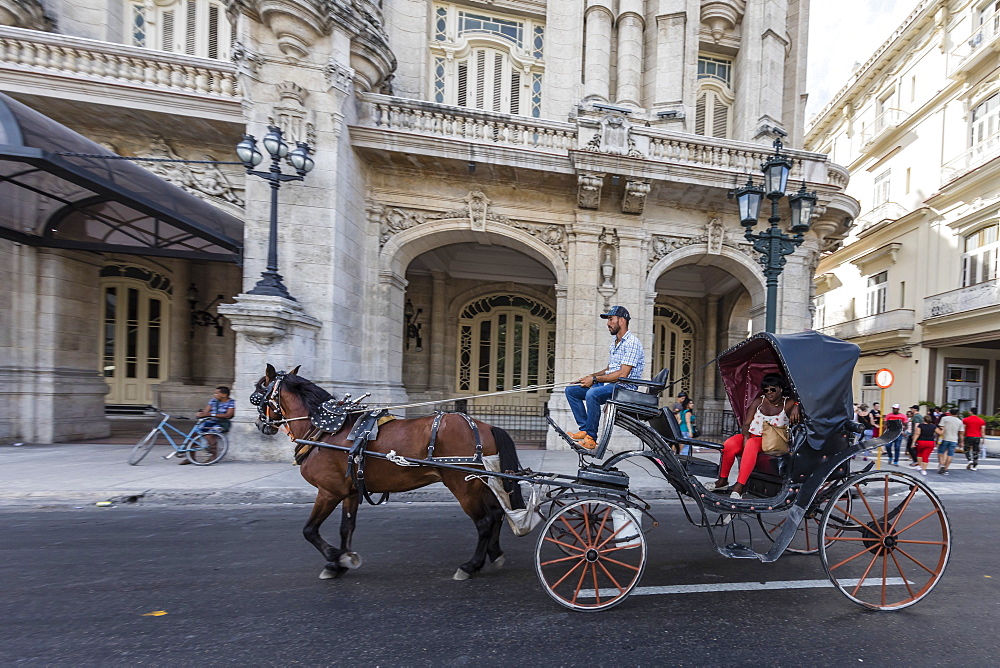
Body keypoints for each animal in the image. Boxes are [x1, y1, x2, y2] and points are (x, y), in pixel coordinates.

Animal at [254, 366, 528, 580]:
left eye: (258, 392)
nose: (260, 425)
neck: (326, 430)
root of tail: (484, 426)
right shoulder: (349, 491)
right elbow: (346, 527)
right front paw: (341, 561)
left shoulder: (328, 491)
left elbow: (309, 530)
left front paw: (335, 558)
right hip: (482, 482)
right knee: (496, 515)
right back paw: (494, 553)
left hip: (463, 485)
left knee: (484, 522)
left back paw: (471, 566)